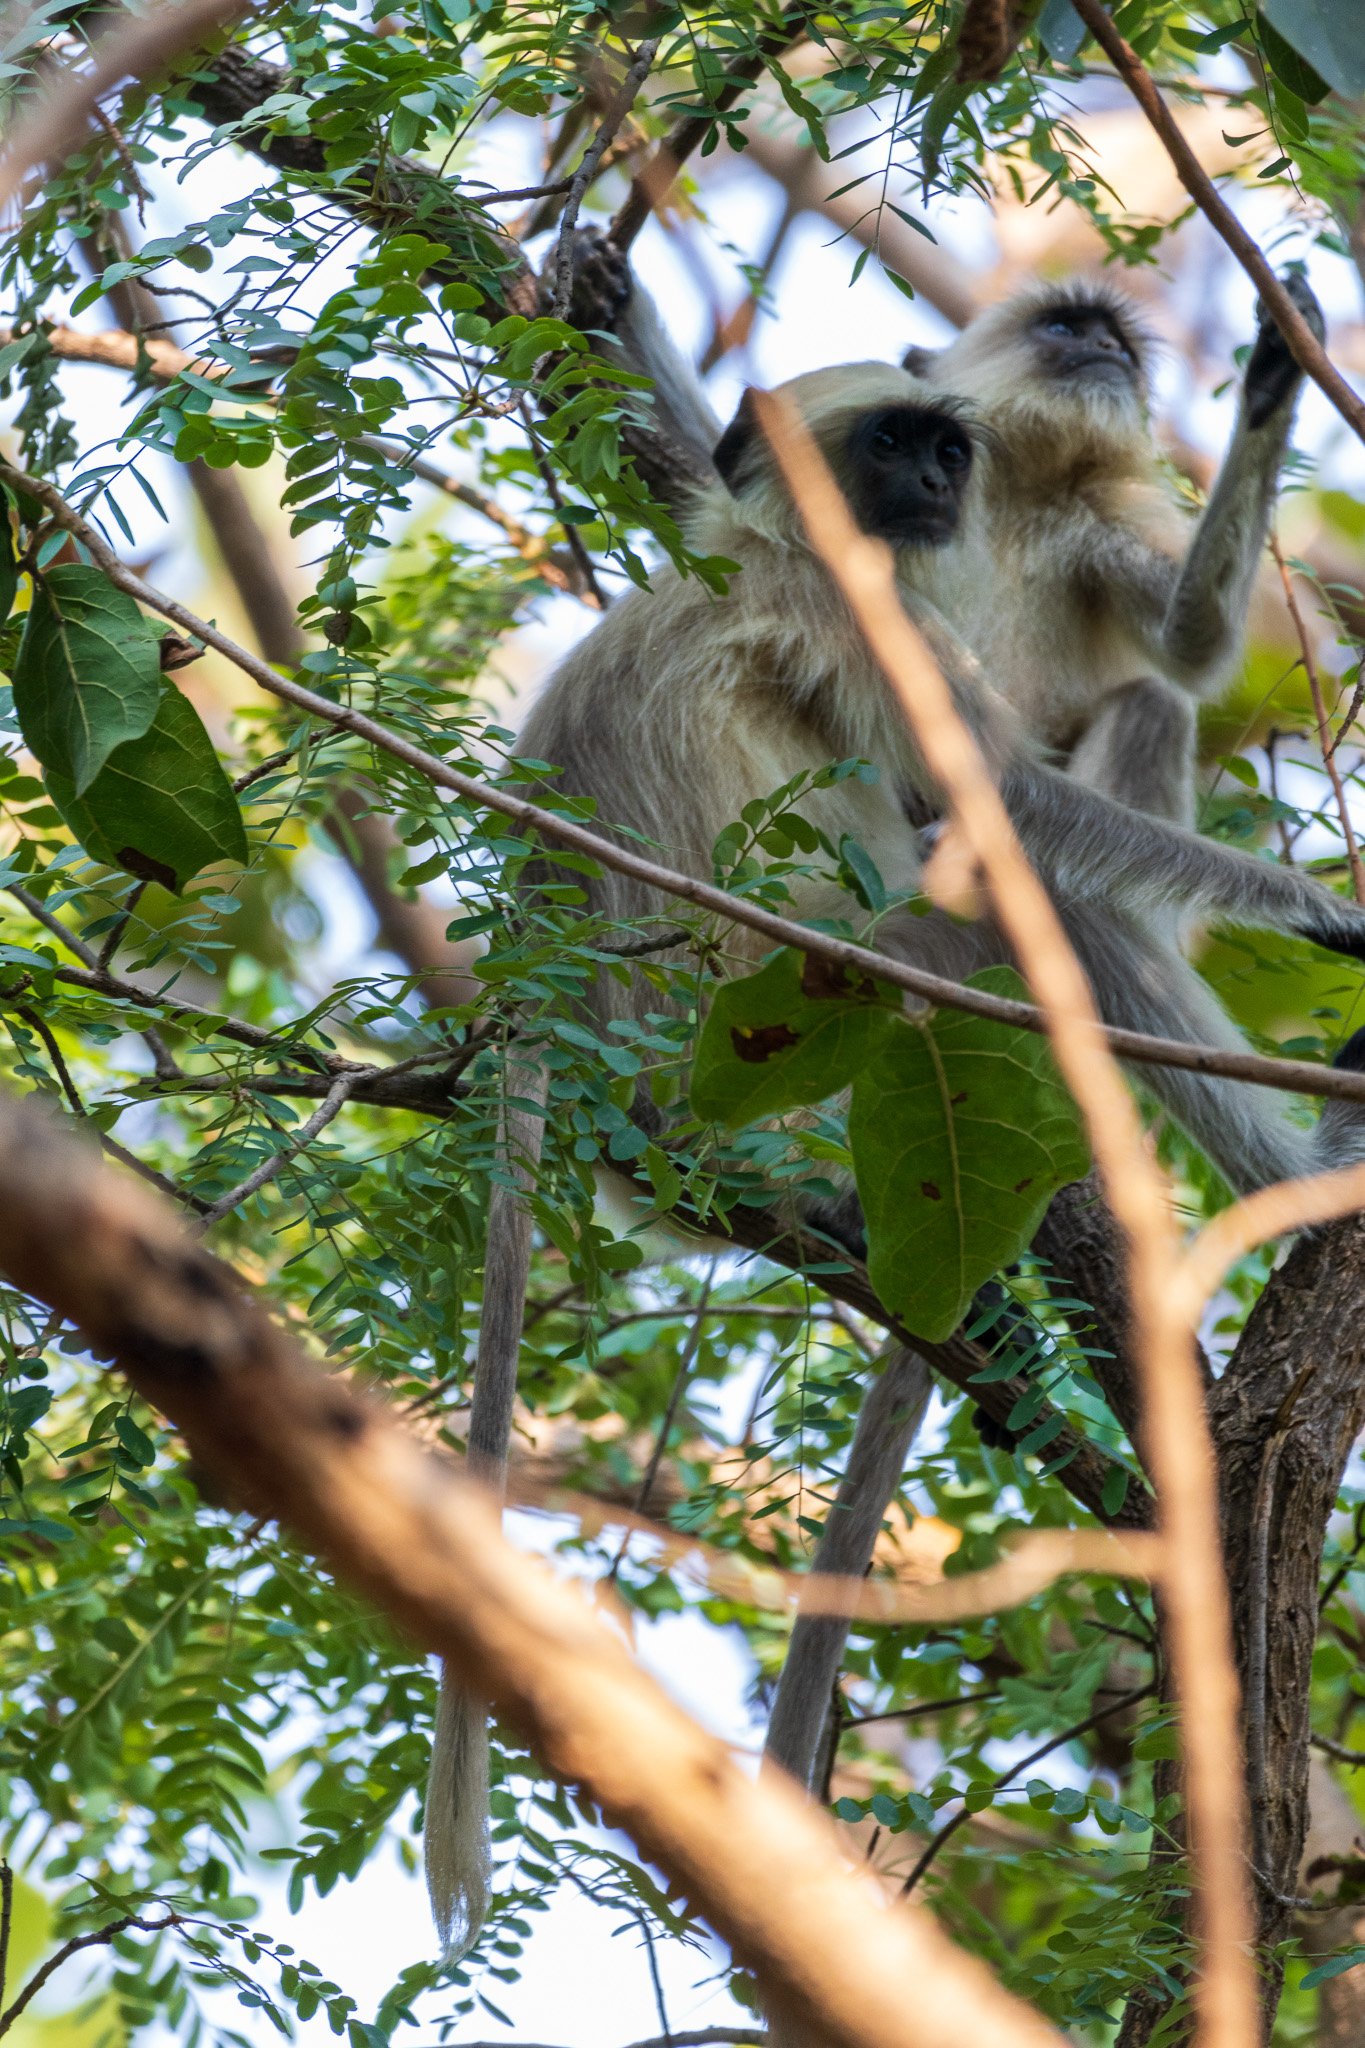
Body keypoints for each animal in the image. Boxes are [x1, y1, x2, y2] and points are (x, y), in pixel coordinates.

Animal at [427, 360, 1365, 1941]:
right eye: (890, 447)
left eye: (946, 451)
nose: (933, 489)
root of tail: (561, 1025)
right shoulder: (858, 611)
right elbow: (1012, 803)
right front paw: (1331, 915)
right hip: (803, 1017)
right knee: (1024, 900)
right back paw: (1300, 1185)